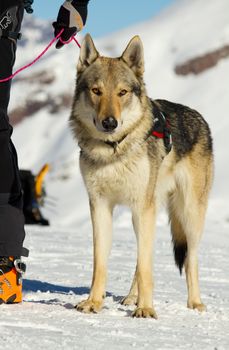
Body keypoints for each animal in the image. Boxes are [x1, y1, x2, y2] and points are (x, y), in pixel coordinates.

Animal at [70, 34, 213, 318]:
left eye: (122, 93)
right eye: (96, 91)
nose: (110, 123)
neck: (113, 151)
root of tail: (200, 117)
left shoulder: (140, 206)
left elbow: (147, 266)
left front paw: (146, 309)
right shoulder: (100, 205)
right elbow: (100, 262)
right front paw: (94, 302)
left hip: (187, 214)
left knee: (189, 259)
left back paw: (195, 303)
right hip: (151, 208)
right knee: (141, 258)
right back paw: (130, 298)